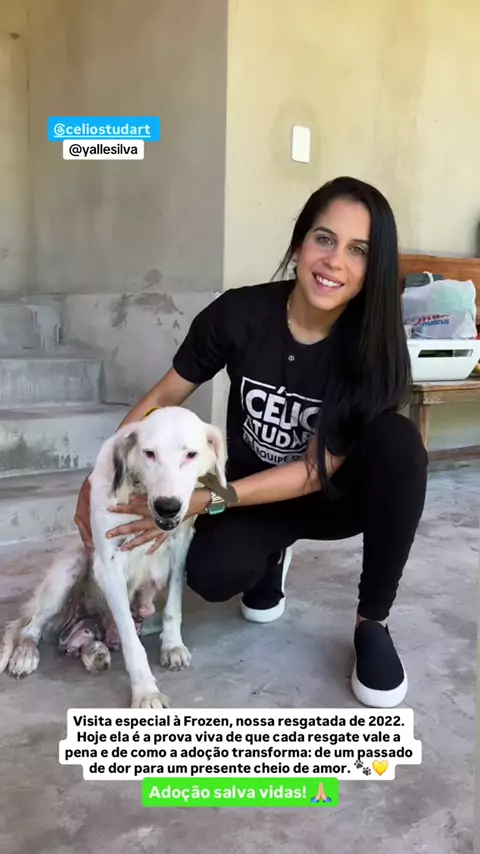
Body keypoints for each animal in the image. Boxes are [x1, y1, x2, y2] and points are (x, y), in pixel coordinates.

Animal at [0, 406, 227, 709]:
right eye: (149, 453)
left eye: (190, 454)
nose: (167, 507)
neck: (140, 493)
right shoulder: (108, 567)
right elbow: (132, 641)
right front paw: (145, 692)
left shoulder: (181, 548)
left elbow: (173, 607)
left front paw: (172, 645)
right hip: (69, 571)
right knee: (29, 629)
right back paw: (26, 654)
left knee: (78, 640)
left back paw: (95, 652)